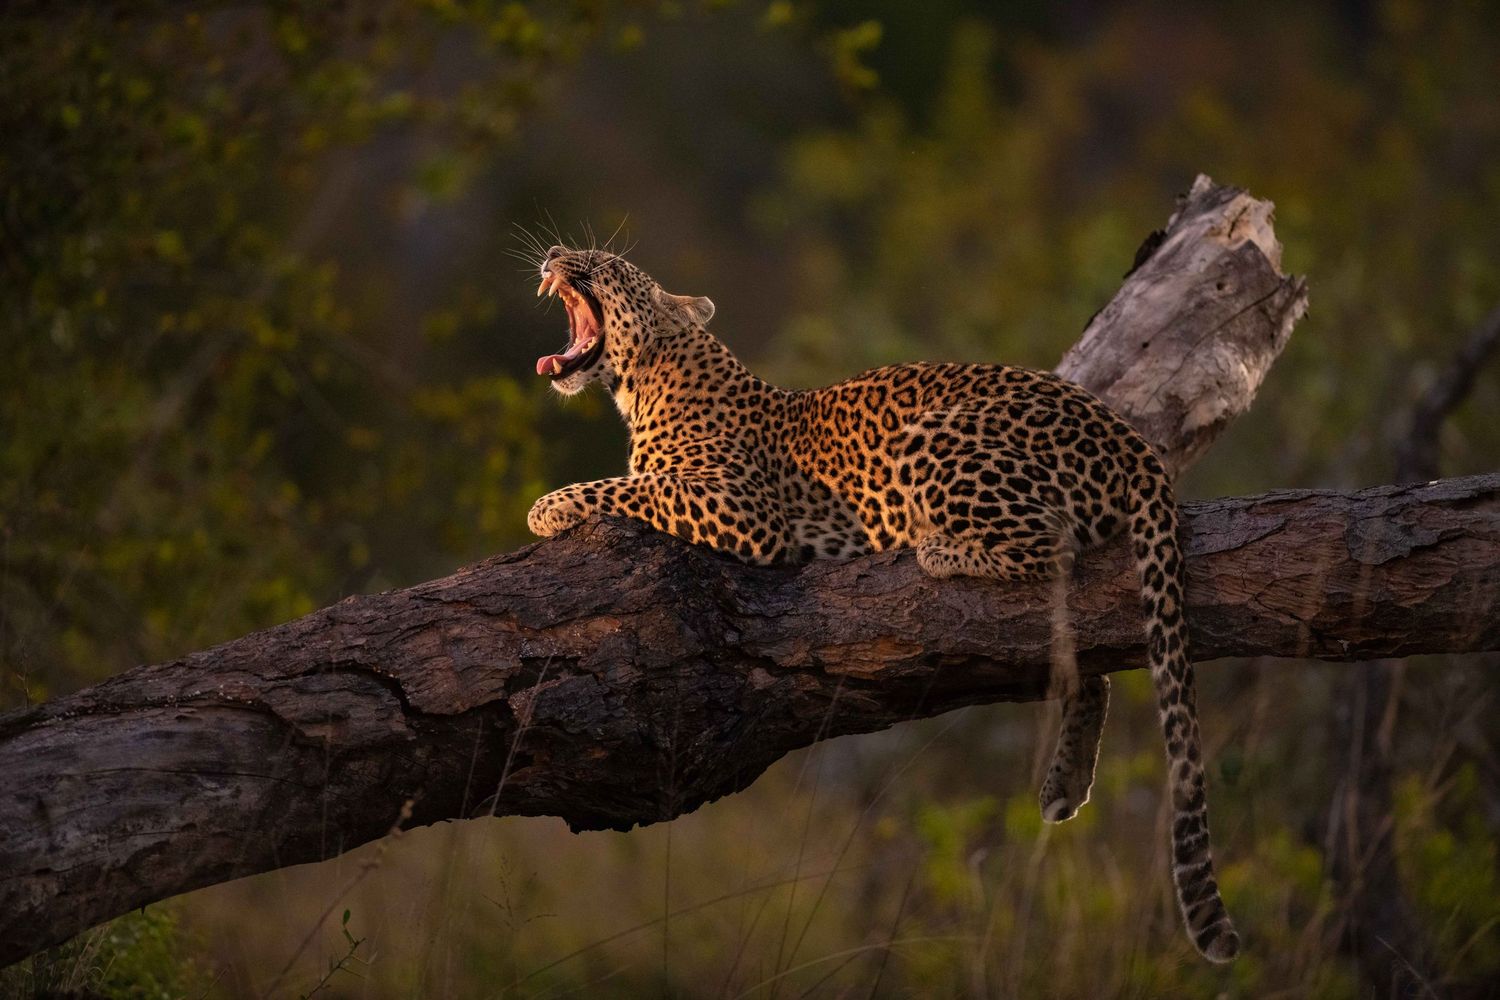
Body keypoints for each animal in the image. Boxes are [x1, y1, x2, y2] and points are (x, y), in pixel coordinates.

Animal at [524, 245, 1239, 963]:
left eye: (602, 262)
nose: (555, 255)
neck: (650, 381)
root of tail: (1131, 441)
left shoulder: (742, 509)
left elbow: (626, 488)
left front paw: (547, 508)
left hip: (936, 439)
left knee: (1052, 545)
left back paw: (937, 550)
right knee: (1085, 653)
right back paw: (1065, 780)